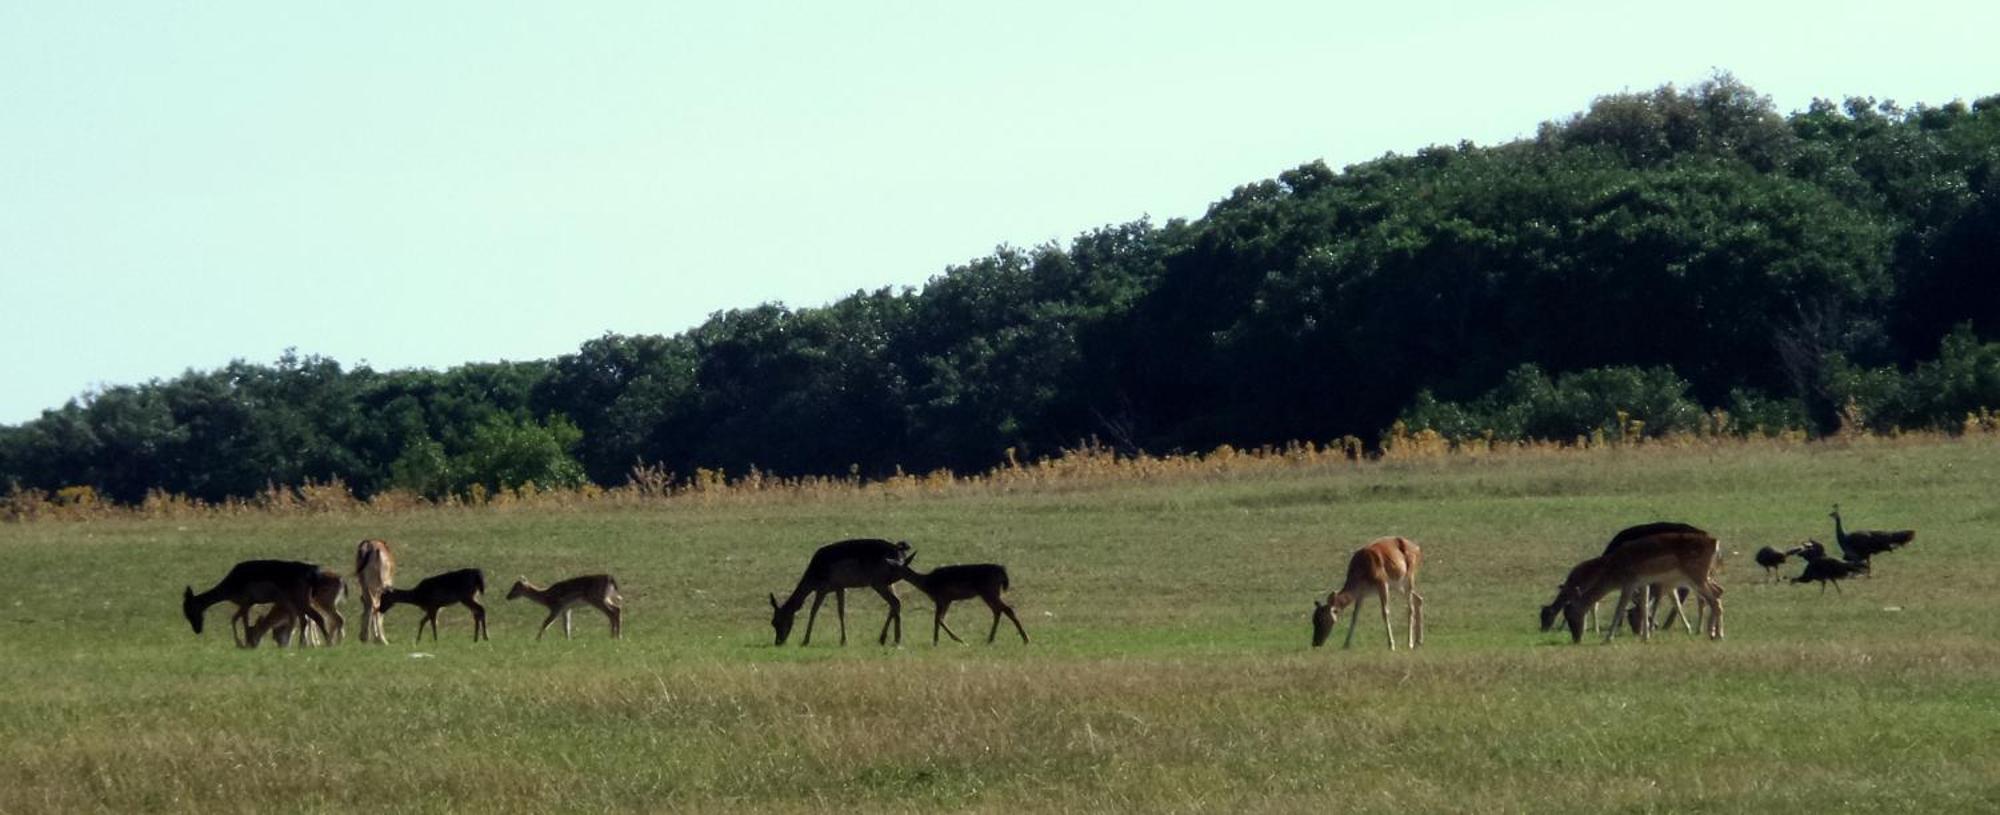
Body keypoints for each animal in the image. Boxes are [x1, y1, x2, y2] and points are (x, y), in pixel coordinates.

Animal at [184, 555, 336, 647]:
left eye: (189, 610)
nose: (197, 630)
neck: (229, 586)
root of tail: (312, 571)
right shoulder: (246, 604)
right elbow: (234, 620)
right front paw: (242, 643)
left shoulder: (246, 602)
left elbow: (244, 623)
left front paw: (246, 643)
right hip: (300, 600)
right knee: (307, 619)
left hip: (300, 599)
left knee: (317, 617)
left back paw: (326, 643)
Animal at [764, 539, 916, 647]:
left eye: (776, 622)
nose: (778, 642)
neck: (814, 577)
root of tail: (900, 551)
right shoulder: (840, 587)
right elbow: (841, 611)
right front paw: (843, 640)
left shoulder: (823, 587)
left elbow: (813, 611)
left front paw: (805, 640)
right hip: (887, 582)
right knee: (895, 603)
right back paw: (883, 638)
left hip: (878, 581)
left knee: (895, 602)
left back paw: (896, 639)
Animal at [904, 555, 1032, 647]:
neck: (926, 583)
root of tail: (1003, 571)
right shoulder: (947, 600)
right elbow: (940, 619)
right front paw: (951, 640)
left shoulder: (941, 597)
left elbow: (937, 619)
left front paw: (937, 641)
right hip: (989, 593)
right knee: (998, 610)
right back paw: (990, 639)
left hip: (989, 590)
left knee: (1007, 609)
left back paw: (1026, 639)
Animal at [1552, 527, 1728, 643]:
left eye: (1570, 615)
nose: (1576, 639)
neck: (1613, 573)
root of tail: (1716, 542)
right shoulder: (1643, 583)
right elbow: (1643, 606)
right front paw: (1645, 637)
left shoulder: (1629, 582)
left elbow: (1620, 608)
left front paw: (1608, 638)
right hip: (1702, 576)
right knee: (1718, 592)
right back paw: (1713, 633)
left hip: (1696, 575)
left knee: (1714, 599)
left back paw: (1718, 635)